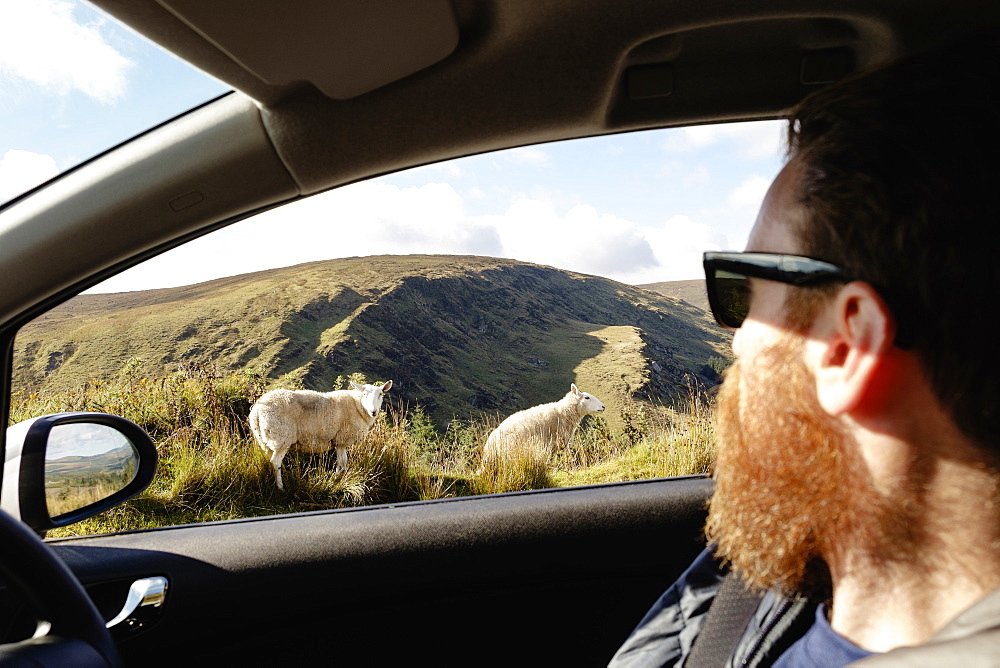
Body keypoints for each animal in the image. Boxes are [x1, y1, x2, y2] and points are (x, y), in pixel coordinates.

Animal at [248, 380, 392, 490]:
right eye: (365, 394)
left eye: (380, 394)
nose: (373, 411)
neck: (357, 406)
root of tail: (256, 410)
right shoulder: (341, 440)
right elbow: (342, 463)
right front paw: (337, 480)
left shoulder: (338, 441)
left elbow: (342, 463)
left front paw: (336, 479)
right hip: (281, 437)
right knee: (275, 462)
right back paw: (280, 487)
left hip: (266, 439)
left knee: (271, 460)